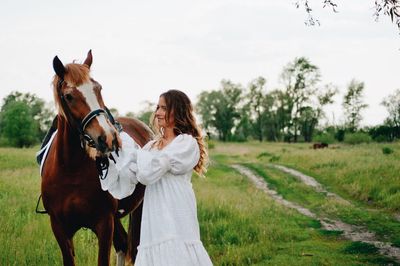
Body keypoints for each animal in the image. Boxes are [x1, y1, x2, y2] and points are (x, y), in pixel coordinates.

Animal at [41, 50, 152, 266]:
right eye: (69, 96)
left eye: (98, 88)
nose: (108, 137)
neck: (70, 170)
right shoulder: (59, 228)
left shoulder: (104, 223)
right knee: (123, 243)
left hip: (139, 208)